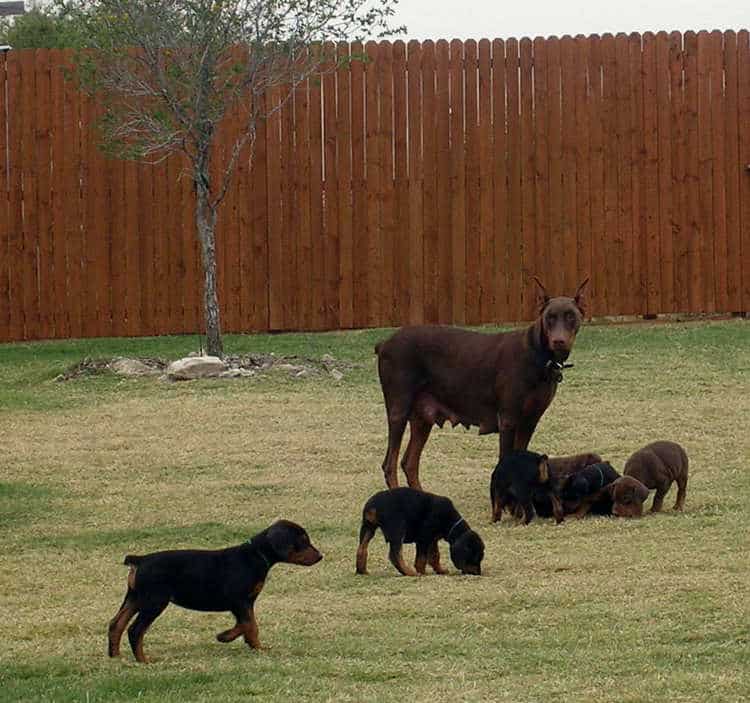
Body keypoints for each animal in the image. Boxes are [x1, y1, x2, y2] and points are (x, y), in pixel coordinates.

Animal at [108, 520, 324, 664]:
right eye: (303, 541)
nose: (321, 556)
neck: (256, 555)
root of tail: (140, 559)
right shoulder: (240, 601)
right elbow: (250, 625)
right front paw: (248, 644)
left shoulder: (245, 603)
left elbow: (247, 624)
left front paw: (237, 640)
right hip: (154, 601)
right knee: (135, 630)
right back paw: (143, 660)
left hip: (135, 598)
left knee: (116, 624)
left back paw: (115, 657)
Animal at [358, 490, 488, 576]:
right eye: (475, 557)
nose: (478, 573)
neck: (451, 521)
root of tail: (373, 506)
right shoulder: (424, 538)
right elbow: (421, 559)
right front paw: (422, 572)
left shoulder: (432, 539)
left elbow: (434, 556)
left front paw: (440, 570)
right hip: (398, 529)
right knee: (395, 555)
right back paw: (409, 572)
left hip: (367, 528)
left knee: (361, 549)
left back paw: (362, 570)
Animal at [378, 276, 592, 490]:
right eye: (549, 317)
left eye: (571, 316)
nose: (559, 341)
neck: (538, 354)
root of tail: (385, 343)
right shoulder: (508, 419)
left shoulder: (530, 421)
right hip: (399, 410)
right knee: (390, 464)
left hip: (423, 417)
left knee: (409, 462)